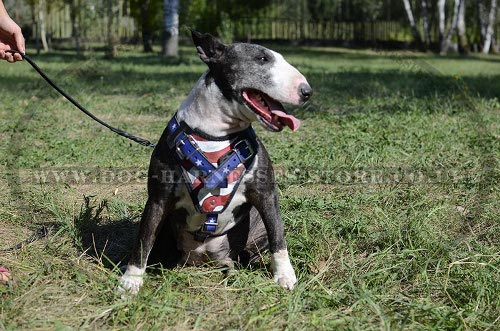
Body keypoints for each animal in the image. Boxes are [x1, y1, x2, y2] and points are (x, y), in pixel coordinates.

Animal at [118, 31, 312, 294]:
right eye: (262, 58)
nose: (306, 91)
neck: (217, 134)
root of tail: (203, 257)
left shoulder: (266, 194)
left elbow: (278, 235)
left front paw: (285, 275)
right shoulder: (158, 200)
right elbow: (142, 241)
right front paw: (131, 280)